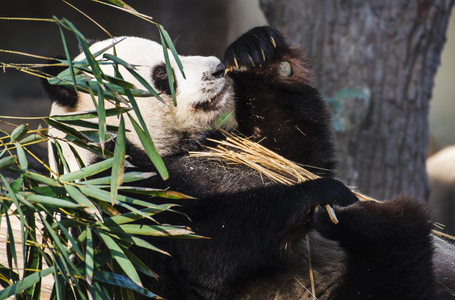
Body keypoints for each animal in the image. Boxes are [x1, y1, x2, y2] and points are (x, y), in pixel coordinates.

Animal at [41, 27, 452, 298]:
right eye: (162, 74)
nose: (217, 68)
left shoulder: (221, 146)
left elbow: (294, 154)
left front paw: (257, 53)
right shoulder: (111, 194)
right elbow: (202, 244)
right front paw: (321, 194)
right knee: (388, 275)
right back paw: (387, 224)